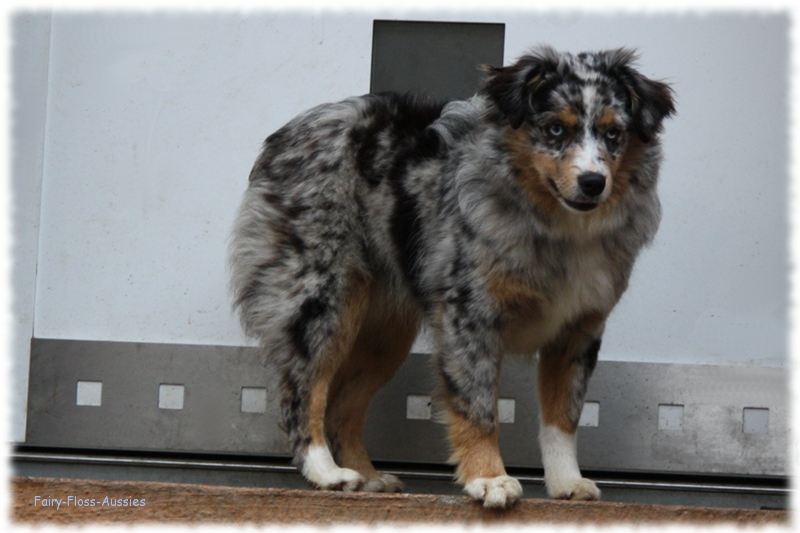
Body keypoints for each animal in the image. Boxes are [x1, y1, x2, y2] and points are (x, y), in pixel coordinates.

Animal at [230, 46, 676, 508]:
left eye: (613, 134)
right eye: (555, 129)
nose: (592, 182)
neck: (556, 227)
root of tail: (284, 135)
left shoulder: (578, 330)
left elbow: (564, 416)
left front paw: (566, 482)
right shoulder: (470, 316)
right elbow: (478, 407)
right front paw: (489, 478)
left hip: (384, 335)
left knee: (342, 406)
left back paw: (367, 476)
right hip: (322, 300)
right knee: (305, 390)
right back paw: (327, 472)